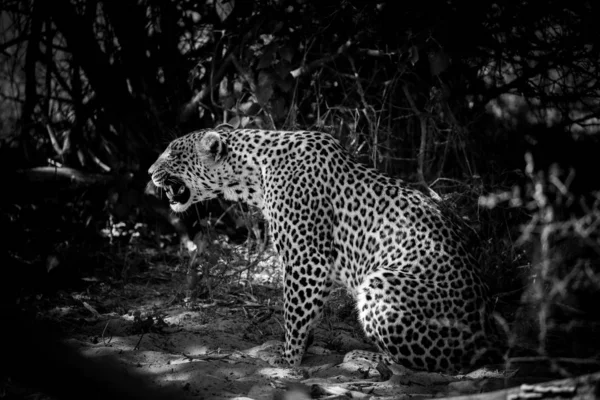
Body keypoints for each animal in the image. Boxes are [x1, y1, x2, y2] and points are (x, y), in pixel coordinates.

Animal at [148, 127, 504, 372]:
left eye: (172, 155)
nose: (150, 173)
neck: (253, 172)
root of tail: (487, 336)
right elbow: (308, 312)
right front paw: (302, 349)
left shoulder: (306, 257)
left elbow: (295, 311)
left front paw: (287, 358)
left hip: (381, 282)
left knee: (430, 361)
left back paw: (365, 357)